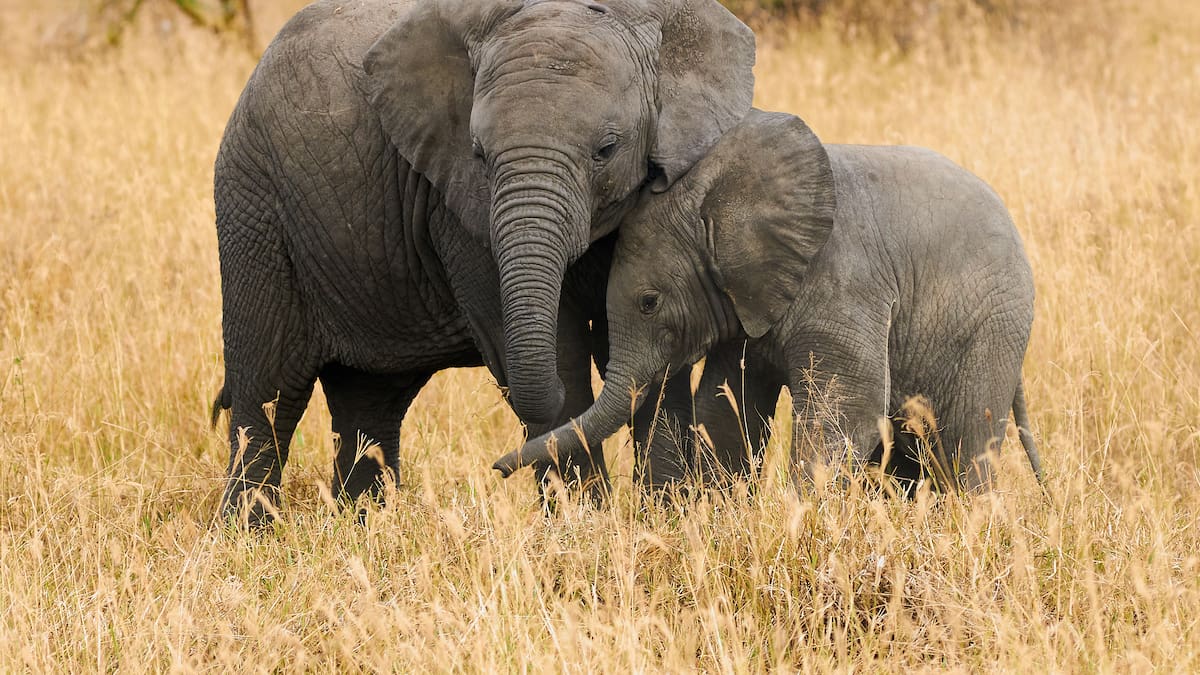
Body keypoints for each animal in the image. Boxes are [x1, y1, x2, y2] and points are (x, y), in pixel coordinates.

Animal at [209, 0, 758, 524]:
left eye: (607, 149)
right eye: (479, 154)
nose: (497, 468)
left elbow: (653, 353)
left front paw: (671, 519)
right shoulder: (457, 208)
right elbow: (562, 353)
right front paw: (585, 526)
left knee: (369, 402)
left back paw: (362, 526)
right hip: (253, 209)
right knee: (269, 392)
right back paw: (249, 535)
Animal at [494, 109, 1045, 494]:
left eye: (649, 302)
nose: (496, 468)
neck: (718, 197)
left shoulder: (843, 283)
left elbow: (847, 413)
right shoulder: (743, 303)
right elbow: (725, 407)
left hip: (993, 327)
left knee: (966, 444)